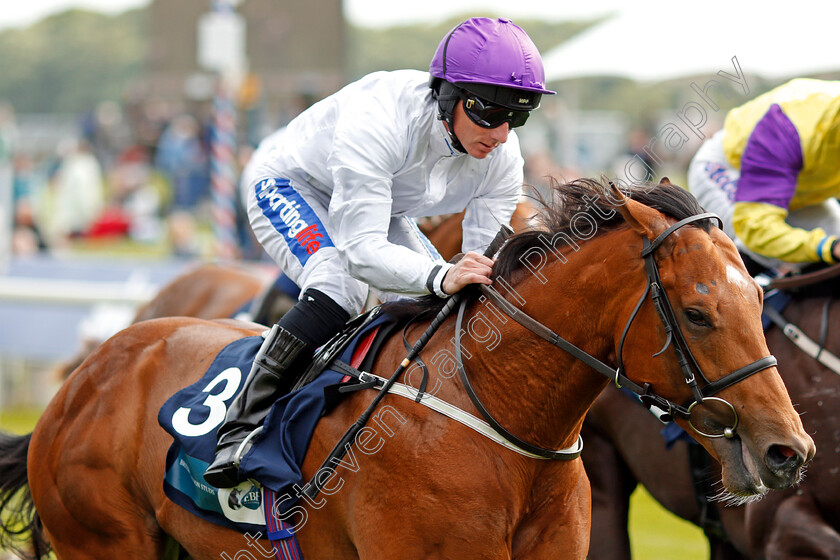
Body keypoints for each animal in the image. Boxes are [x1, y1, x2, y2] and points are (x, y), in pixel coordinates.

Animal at [0, 182, 812, 556]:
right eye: (699, 313)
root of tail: (85, 377)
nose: (789, 450)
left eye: (757, 296)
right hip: (104, 540)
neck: (500, 415)